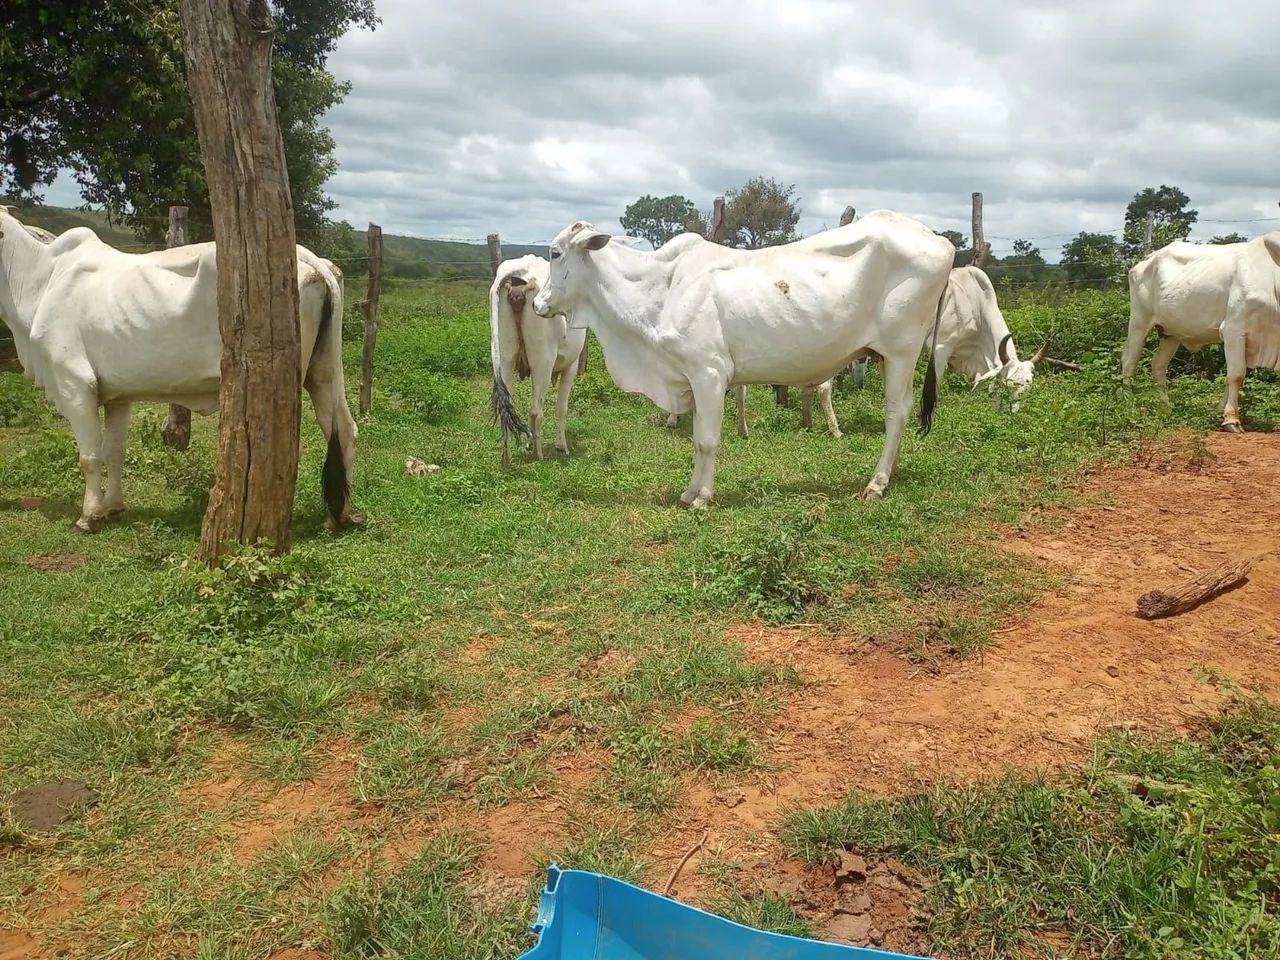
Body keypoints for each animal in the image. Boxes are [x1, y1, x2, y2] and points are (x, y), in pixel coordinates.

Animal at [0, 205, 358, 532]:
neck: (41, 281)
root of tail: (311, 260)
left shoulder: (75, 385)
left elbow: (89, 457)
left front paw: (88, 516)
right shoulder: (118, 396)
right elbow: (114, 452)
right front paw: (113, 507)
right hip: (325, 371)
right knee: (342, 428)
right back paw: (339, 515)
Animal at [489, 255, 587, 464]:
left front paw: (528, 442)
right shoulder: (572, 365)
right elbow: (562, 407)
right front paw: (561, 445)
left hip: (504, 357)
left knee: (507, 407)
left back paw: (507, 457)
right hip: (543, 362)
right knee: (535, 410)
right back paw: (539, 454)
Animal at [520, 211, 954, 505]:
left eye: (554, 253)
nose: (538, 303)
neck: (659, 290)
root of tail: (940, 241)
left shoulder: (708, 373)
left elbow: (707, 440)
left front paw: (703, 496)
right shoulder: (692, 379)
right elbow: (696, 439)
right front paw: (688, 491)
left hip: (900, 352)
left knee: (897, 412)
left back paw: (876, 482)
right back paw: (891, 471)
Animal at [1121, 234, 1280, 431]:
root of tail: (1148, 258)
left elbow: (1232, 377)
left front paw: (1220, 413)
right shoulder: (1234, 329)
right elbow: (1236, 375)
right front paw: (1231, 421)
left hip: (1170, 333)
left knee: (1158, 365)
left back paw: (1165, 407)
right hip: (1139, 321)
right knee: (1129, 361)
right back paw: (1128, 405)